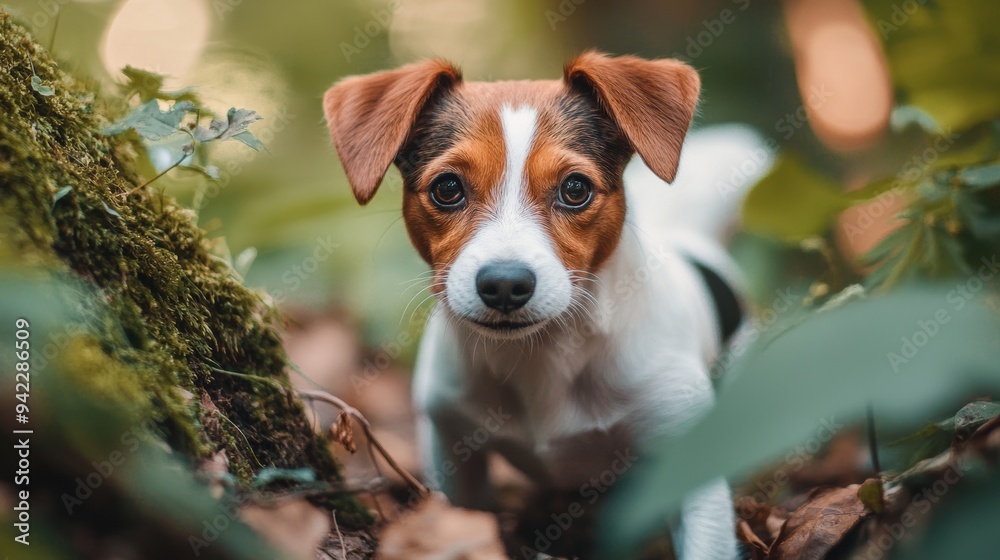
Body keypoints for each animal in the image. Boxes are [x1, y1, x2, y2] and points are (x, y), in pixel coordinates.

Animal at [324, 52, 768, 560]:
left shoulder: (688, 462)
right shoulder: (452, 446)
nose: (504, 284)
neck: (545, 355)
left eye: (575, 188)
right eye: (447, 188)